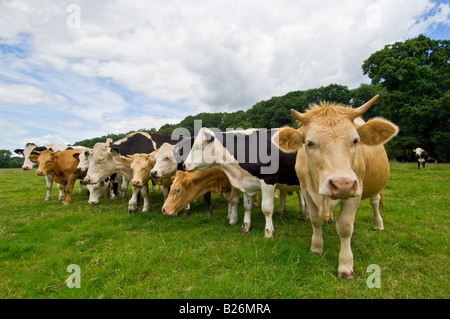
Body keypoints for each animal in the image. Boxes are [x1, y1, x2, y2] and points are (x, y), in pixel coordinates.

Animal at [272, 95, 400, 280]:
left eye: (355, 141)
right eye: (309, 143)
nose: (342, 184)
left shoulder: (356, 191)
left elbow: (345, 227)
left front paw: (346, 265)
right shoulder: (306, 190)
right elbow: (315, 220)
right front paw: (316, 247)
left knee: (375, 202)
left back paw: (378, 224)